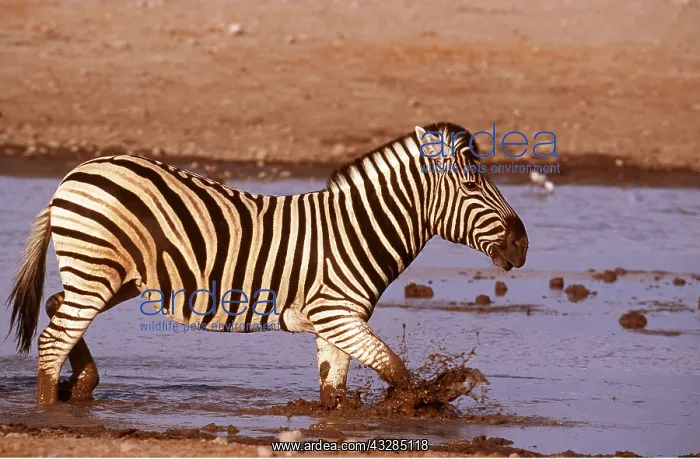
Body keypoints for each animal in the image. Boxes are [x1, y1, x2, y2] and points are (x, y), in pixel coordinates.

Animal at [7, 122, 528, 406]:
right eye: (472, 186)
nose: (522, 245)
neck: (356, 230)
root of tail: (76, 173)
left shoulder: (337, 322)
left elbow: (334, 392)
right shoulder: (336, 314)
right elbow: (395, 367)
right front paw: (438, 397)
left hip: (117, 278)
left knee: (57, 309)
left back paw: (83, 385)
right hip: (97, 269)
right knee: (53, 338)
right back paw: (49, 411)